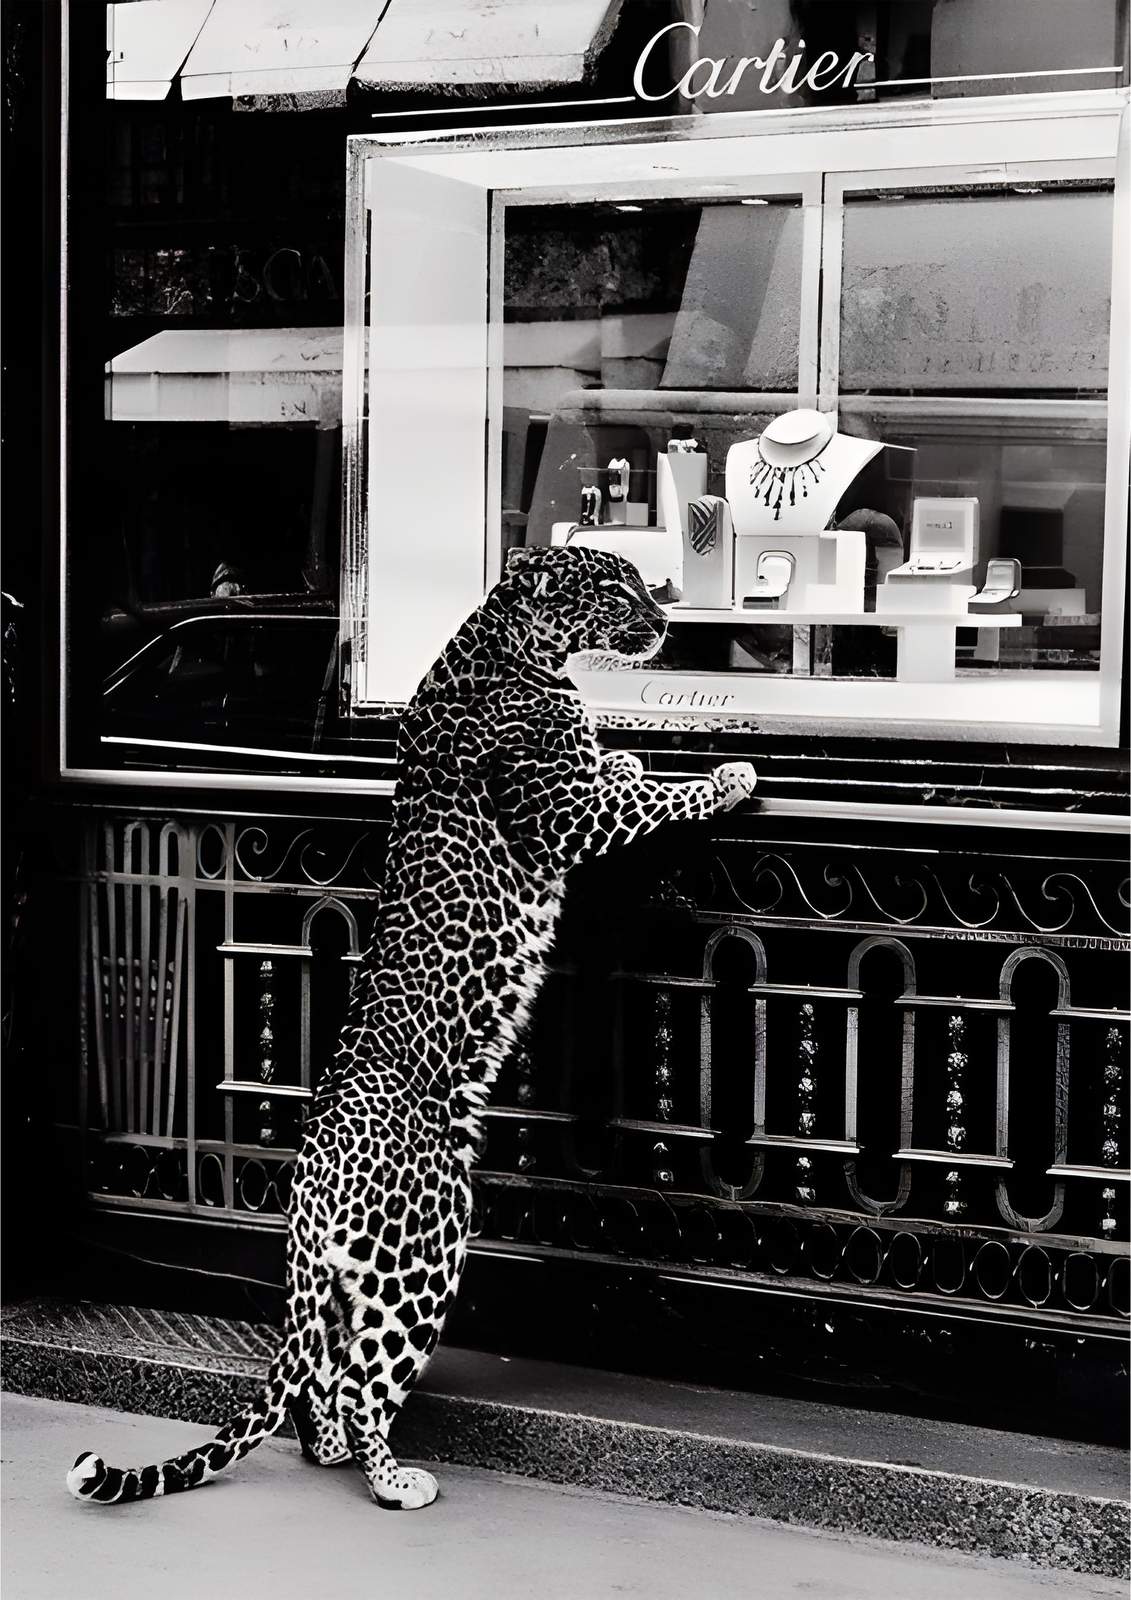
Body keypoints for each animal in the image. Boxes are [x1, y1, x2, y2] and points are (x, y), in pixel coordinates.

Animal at [67, 543, 756, 1510]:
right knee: (363, 1381)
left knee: (321, 1374)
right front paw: (723, 779)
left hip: (345, 1280)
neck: (511, 645)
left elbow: (616, 772)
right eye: (614, 587)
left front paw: (624, 752)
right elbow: (656, 799)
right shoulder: (566, 816)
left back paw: (332, 1452)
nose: (664, 622)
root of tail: (309, 1184)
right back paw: (395, 1481)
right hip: (420, 1255)